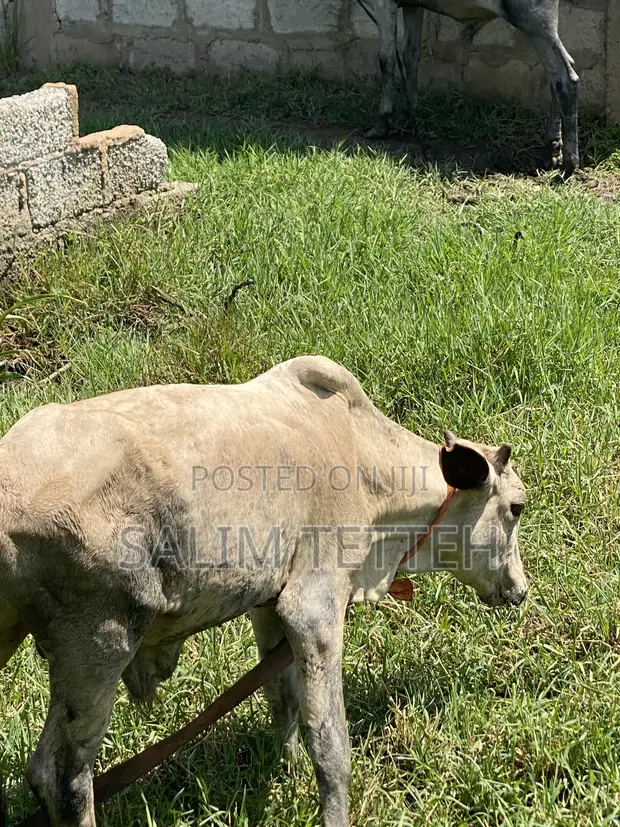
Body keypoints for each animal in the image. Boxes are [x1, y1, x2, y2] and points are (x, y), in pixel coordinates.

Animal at [0, 355, 528, 827]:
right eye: (517, 507)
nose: (520, 590)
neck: (365, 460)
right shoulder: (313, 607)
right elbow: (330, 742)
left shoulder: (269, 604)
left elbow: (282, 696)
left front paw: (287, 774)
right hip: (101, 641)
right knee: (62, 778)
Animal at [360, 0, 579, 174]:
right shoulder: (412, 7)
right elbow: (410, 55)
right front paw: (408, 115)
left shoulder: (383, 5)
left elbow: (387, 60)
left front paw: (380, 123)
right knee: (557, 74)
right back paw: (552, 150)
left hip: (535, 20)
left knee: (565, 77)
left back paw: (569, 164)